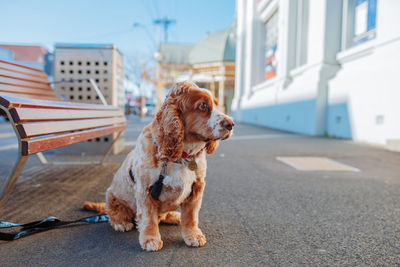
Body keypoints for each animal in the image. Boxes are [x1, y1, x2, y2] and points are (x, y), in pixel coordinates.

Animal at [84, 81, 234, 251]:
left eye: (217, 104)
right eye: (202, 106)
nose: (231, 124)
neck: (182, 156)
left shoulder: (197, 187)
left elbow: (191, 216)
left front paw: (193, 235)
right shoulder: (145, 190)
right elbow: (149, 218)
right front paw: (150, 239)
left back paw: (173, 216)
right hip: (111, 196)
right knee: (113, 213)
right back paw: (121, 223)